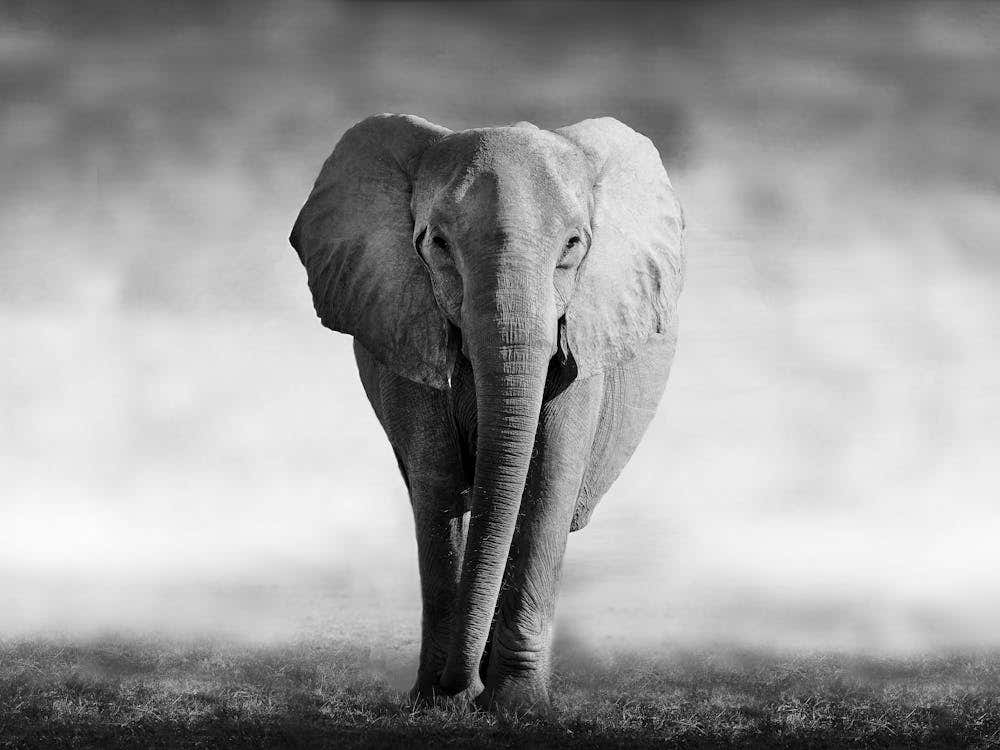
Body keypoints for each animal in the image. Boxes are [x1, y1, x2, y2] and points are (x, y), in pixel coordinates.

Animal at [288, 113, 685, 711]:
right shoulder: (406, 325)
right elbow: (438, 482)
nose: (462, 687)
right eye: (438, 243)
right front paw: (439, 702)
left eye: (573, 245)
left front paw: (517, 706)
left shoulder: (583, 334)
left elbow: (546, 483)